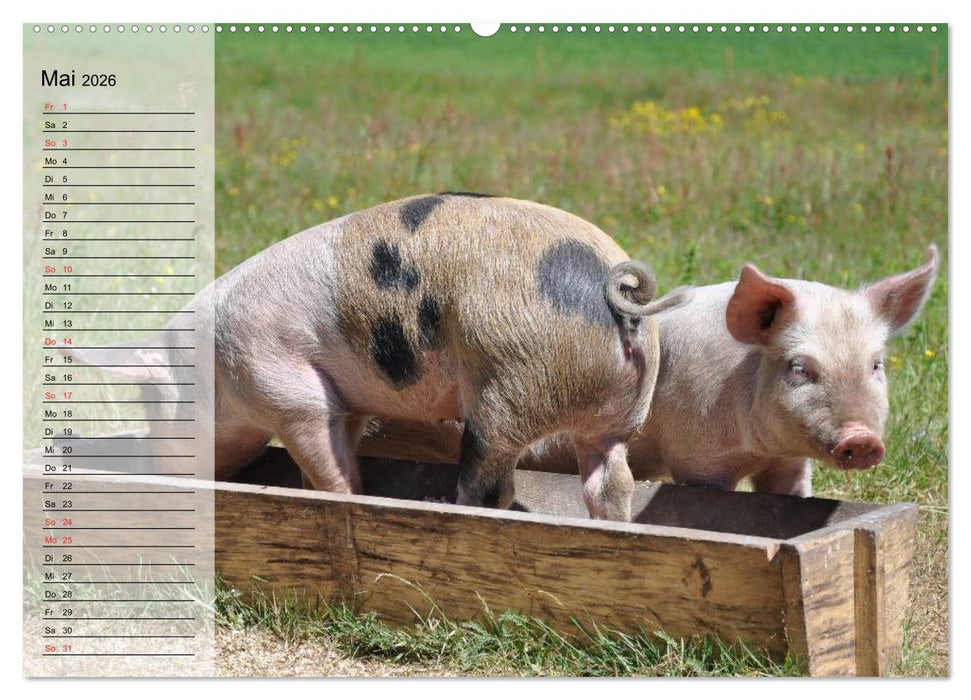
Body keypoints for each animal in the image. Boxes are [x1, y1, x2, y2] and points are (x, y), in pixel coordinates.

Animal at [64, 194, 687, 520]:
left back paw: (456, 506)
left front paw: (346, 501)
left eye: (150, 403)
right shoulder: (350, 399)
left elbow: (325, 461)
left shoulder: (287, 389)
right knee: (610, 481)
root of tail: (619, 292)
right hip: (617, 418)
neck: (212, 369)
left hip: (509, 385)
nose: (162, 471)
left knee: (491, 482)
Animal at [610, 245, 939, 496]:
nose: (861, 438)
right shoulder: (696, 458)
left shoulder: (787, 463)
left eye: (876, 365)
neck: (759, 451)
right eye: (799, 368)